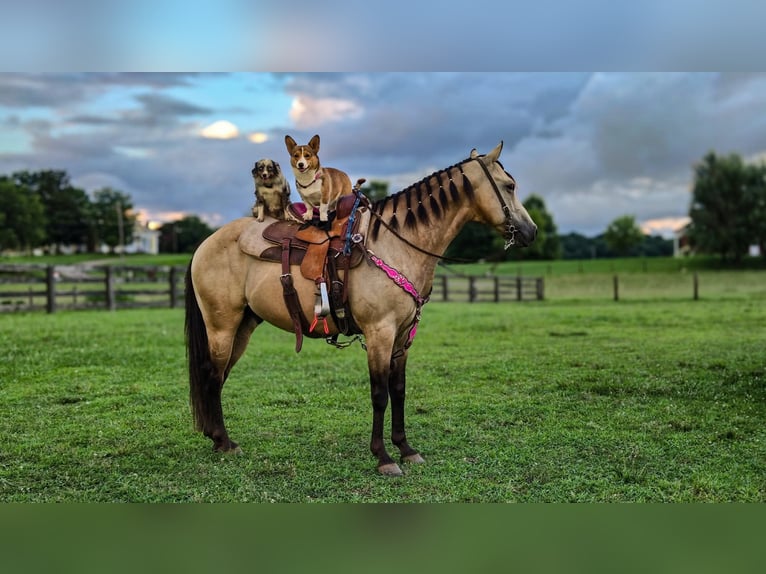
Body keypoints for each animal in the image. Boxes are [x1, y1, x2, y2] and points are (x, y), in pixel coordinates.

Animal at [185, 141, 537, 476]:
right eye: (509, 185)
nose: (531, 231)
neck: (396, 244)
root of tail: (205, 244)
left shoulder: (402, 337)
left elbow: (399, 390)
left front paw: (406, 449)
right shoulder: (380, 332)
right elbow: (379, 394)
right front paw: (383, 457)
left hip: (244, 325)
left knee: (220, 376)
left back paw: (218, 438)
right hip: (221, 325)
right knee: (212, 375)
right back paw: (224, 443)